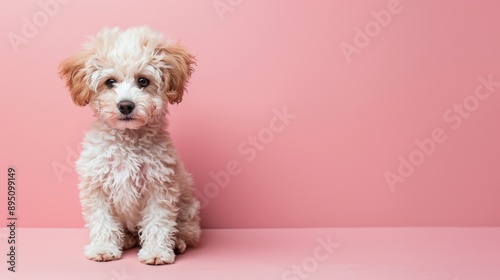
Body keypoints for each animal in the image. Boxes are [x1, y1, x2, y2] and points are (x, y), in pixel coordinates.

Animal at [61, 26, 203, 264]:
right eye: (110, 82)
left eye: (143, 81)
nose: (126, 105)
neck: (127, 140)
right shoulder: (96, 185)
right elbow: (102, 220)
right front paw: (103, 248)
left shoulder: (159, 185)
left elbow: (158, 222)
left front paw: (156, 252)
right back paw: (125, 239)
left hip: (187, 209)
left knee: (188, 232)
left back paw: (177, 243)